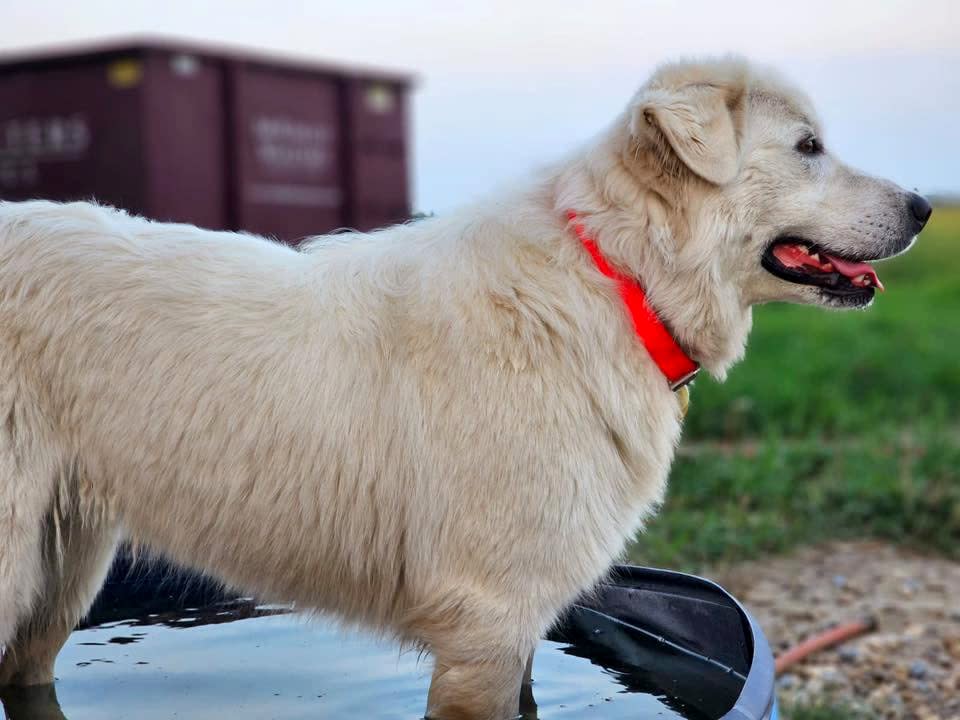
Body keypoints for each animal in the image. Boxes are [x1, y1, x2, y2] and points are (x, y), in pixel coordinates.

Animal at [0, 57, 928, 720]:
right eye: (808, 147)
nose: (924, 205)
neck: (615, 276)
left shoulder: (517, 628)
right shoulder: (487, 625)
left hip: (64, 571)